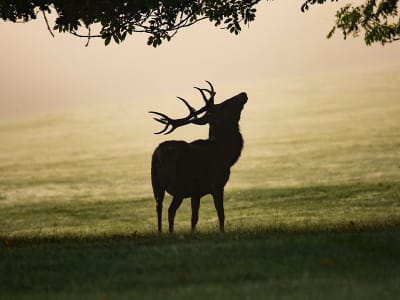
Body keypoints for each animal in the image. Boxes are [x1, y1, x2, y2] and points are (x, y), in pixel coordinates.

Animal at [150, 82, 247, 234]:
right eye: (223, 106)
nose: (243, 94)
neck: (226, 155)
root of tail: (159, 155)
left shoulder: (197, 191)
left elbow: (195, 217)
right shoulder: (215, 184)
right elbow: (219, 213)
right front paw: (221, 232)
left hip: (156, 184)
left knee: (161, 208)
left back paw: (163, 233)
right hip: (180, 183)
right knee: (169, 209)